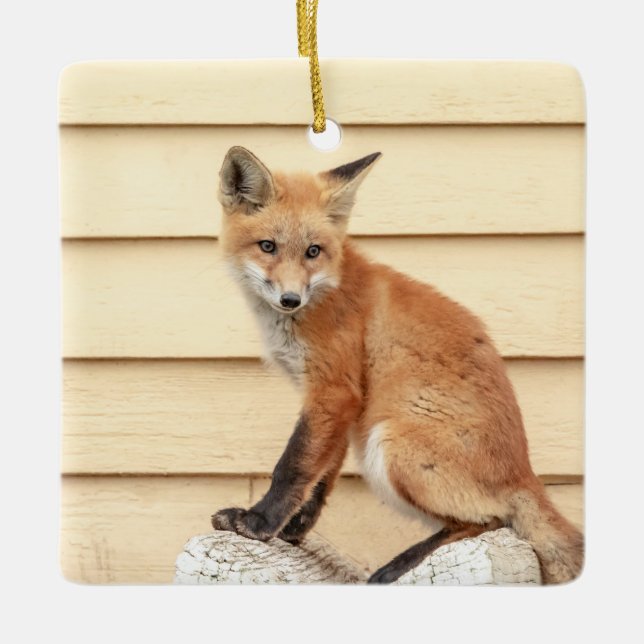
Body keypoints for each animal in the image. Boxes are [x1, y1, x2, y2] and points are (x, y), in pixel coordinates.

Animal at [211, 145, 584, 584]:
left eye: (312, 251)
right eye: (267, 246)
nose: (290, 299)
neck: (324, 292)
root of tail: (524, 473)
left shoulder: (333, 389)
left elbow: (294, 466)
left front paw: (259, 523)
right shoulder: (343, 403)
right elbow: (322, 476)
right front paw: (294, 530)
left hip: (389, 446)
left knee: (491, 520)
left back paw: (399, 564)